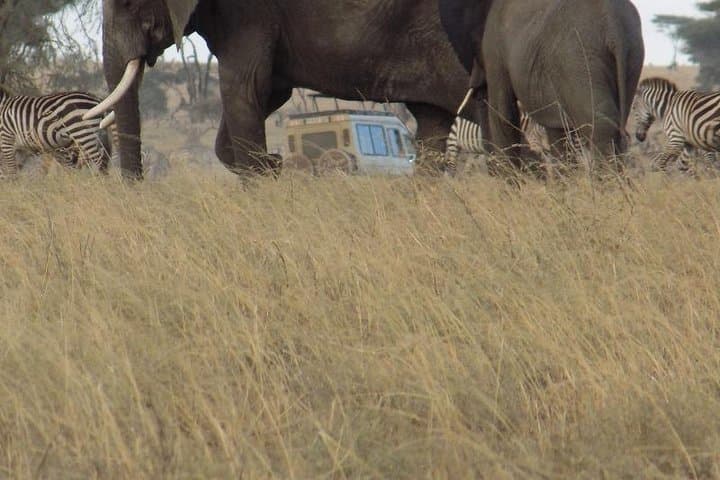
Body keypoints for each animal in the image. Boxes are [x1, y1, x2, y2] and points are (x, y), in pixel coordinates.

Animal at [87, 0, 490, 179]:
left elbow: (243, 89)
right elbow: (266, 93)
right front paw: (274, 165)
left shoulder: (248, 13)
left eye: (129, 2)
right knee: (433, 124)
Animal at [439, 0, 645, 172]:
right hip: (630, 54)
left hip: (578, 57)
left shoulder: (494, 48)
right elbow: (557, 130)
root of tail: (613, 23)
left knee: (600, 126)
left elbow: (502, 113)